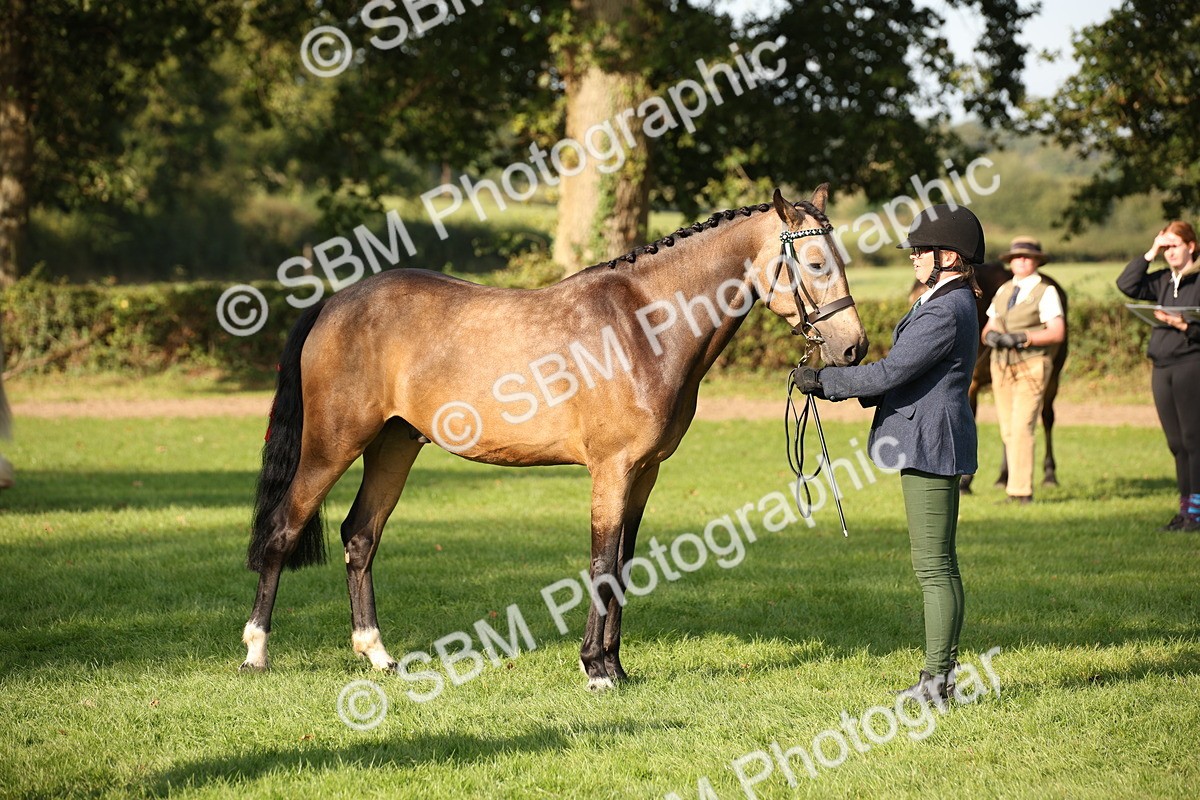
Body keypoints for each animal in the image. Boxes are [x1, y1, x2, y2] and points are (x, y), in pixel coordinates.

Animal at [240, 186, 869, 690]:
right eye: (815, 262)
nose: (854, 348)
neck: (644, 324)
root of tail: (334, 302)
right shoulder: (612, 469)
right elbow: (601, 560)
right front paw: (596, 669)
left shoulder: (645, 473)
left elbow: (624, 563)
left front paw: (616, 665)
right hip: (332, 446)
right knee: (283, 530)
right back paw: (256, 652)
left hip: (393, 446)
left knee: (360, 537)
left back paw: (377, 655)